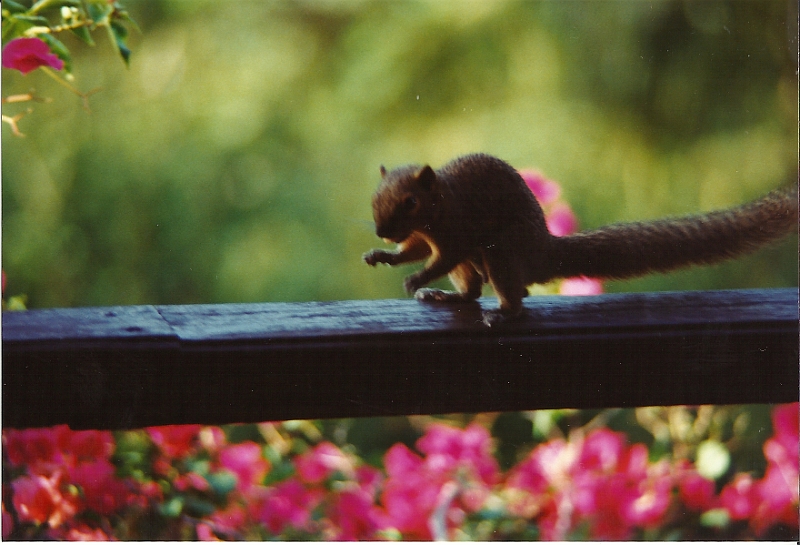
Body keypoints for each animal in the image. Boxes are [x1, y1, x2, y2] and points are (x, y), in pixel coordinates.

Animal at [364, 151, 800, 326]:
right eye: (375, 196)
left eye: (410, 201)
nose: (381, 230)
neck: (439, 206)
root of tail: (542, 251)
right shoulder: (425, 238)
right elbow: (415, 250)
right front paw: (384, 256)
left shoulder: (457, 230)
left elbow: (440, 256)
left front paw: (416, 278)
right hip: (480, 264)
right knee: (471, 291)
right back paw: (446, 296)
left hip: (501, 253)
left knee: (514, 297)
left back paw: (502, 313)